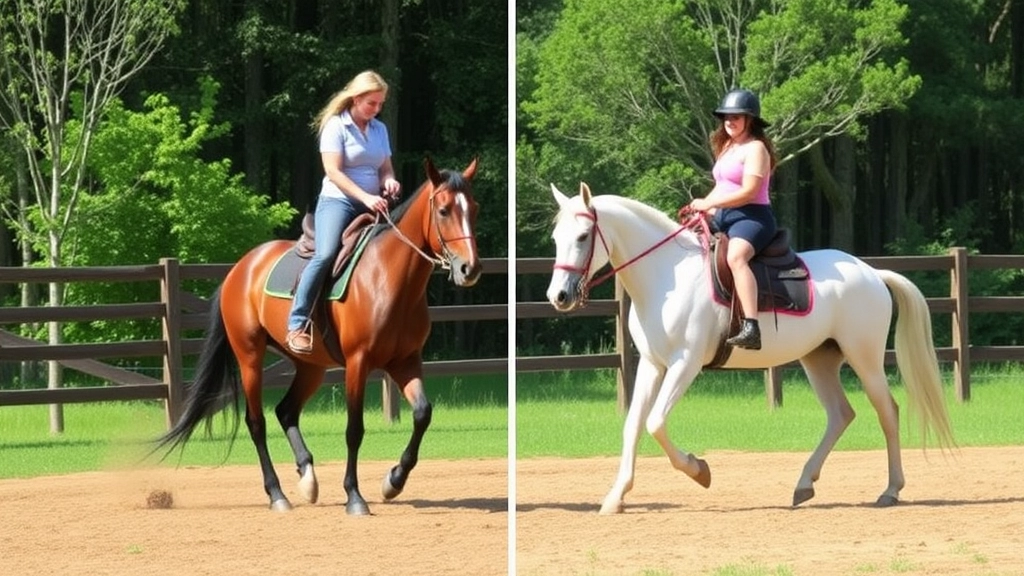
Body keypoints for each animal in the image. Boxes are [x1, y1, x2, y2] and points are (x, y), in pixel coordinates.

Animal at [156, 155, 483, 510]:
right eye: (444, 210)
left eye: (474, 208)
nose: (470, 269)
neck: (387, 279)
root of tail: (240, 269)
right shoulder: (358, 362)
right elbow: (354, 430)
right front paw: (354, 496)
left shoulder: (405, 362)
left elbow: (423, 414)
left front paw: (393, 481)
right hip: (250, 358)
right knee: (257, 423)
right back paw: (277, 494)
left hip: (311, 367)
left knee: (286, 411)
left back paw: (308, 478)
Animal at [548, 182, 954, 510]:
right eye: (555, 238)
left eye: (583, 236)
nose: (559, 296)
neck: (667, 276)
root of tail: (871, 272)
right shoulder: (652, 364)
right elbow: (634, 425)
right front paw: (616, 497)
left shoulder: (685, 364)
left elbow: (656, 422)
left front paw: (699, 470)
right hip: (818, 360)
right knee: (841, 414)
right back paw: (804, 484)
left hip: (865, 359)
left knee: (888, 412)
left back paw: (890, 490)